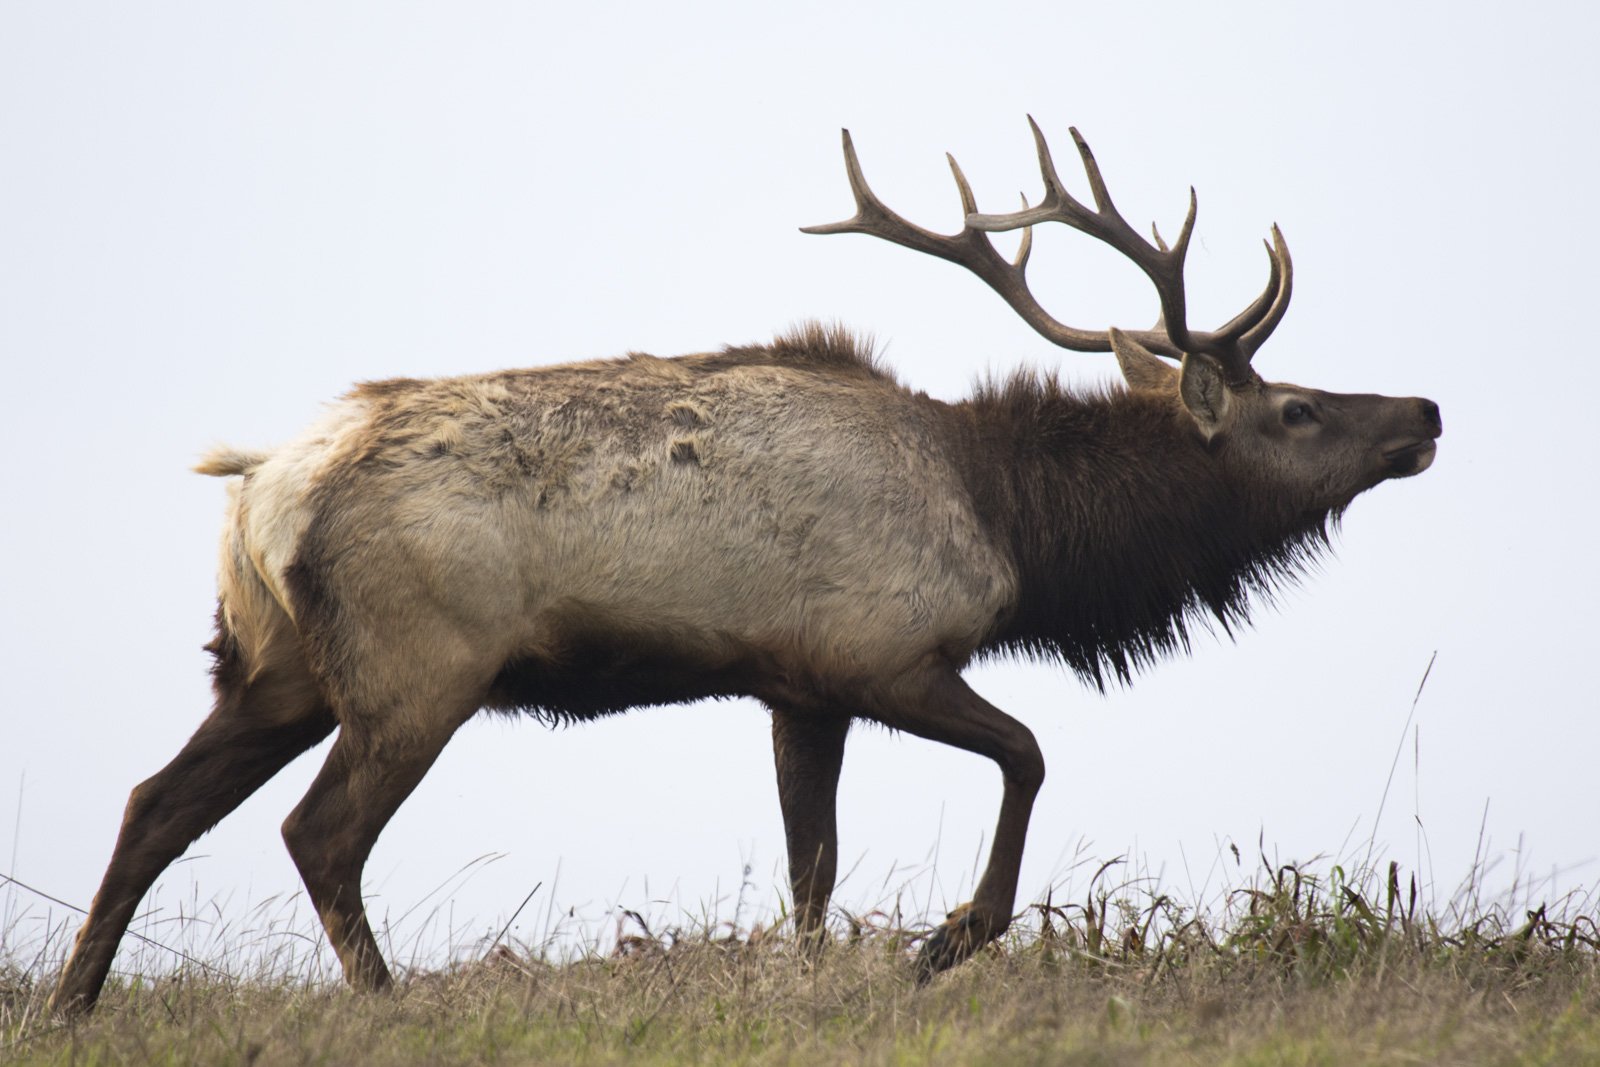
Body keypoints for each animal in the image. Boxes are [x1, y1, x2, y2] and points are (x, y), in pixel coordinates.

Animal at [56, 120, 1446, 1017]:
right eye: (1298, 409)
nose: (1424, 409)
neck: (1016, 522)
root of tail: (263, 481)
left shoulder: (796, 686)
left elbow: (809, 867)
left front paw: (822, 977)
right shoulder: (880, 651)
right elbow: (1028, 755)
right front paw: (944, 941)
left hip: (274, 667)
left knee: (153, 802)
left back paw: (73, 1003)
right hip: (417, 666)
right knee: (319, 830)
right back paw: (384, 1001)